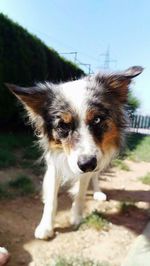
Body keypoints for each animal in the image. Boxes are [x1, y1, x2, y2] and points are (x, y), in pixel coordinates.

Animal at [6, 66, 143, 239]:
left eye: (97, 119)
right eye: (63, 126)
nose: (87, 164)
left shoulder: (91, 163)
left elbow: (81, 192)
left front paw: (76, 217)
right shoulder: (55, 163)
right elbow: (52, 198)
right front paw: (46, 226)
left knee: (95, 176)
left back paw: (97, 192)